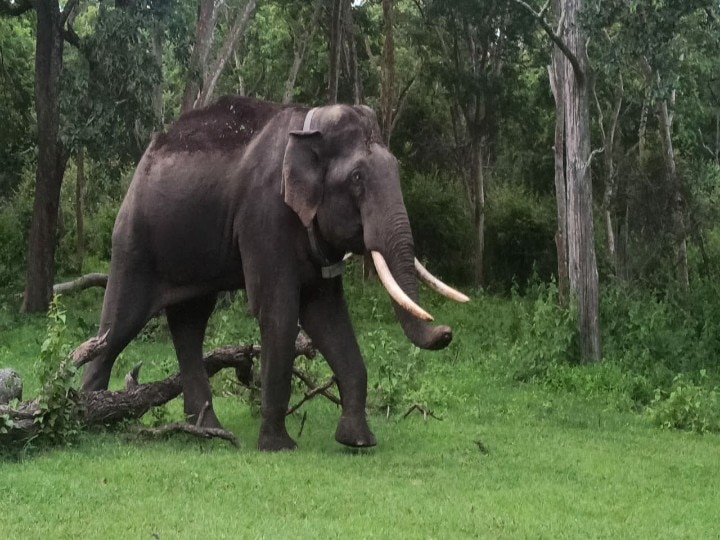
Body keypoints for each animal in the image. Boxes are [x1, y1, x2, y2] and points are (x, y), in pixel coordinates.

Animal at [81, 97, 470, 452]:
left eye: (396, 170)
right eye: (357, 178)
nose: (447, 332)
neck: (310, 124)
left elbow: (326, 315)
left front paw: (358, 442)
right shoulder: (265, 216)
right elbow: (279, 312)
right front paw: (278, 446)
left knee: (189, 322)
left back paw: (207, 429)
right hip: (135, 241)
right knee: (119, 323)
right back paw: (92, 418)